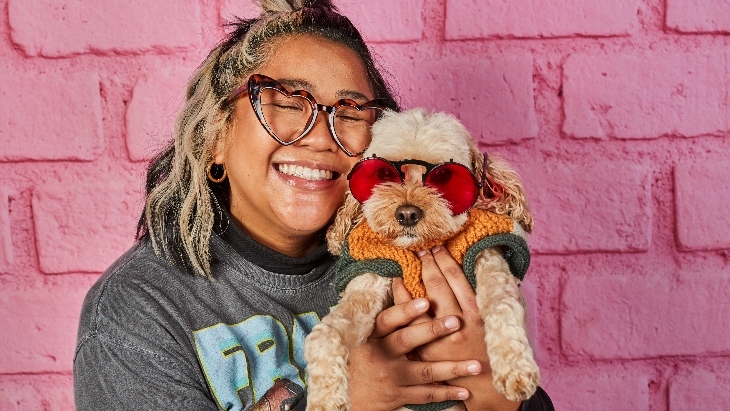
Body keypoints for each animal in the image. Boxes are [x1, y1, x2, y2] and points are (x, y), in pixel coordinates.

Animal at [304, 108, 536, 411]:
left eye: (446, 177)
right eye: (383, 174)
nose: (407, 214)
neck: (423, 248)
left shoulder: (488, 256)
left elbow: (502, 304)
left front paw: (515, 367)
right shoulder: (371, 278)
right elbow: (328, 331)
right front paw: (325, 397)